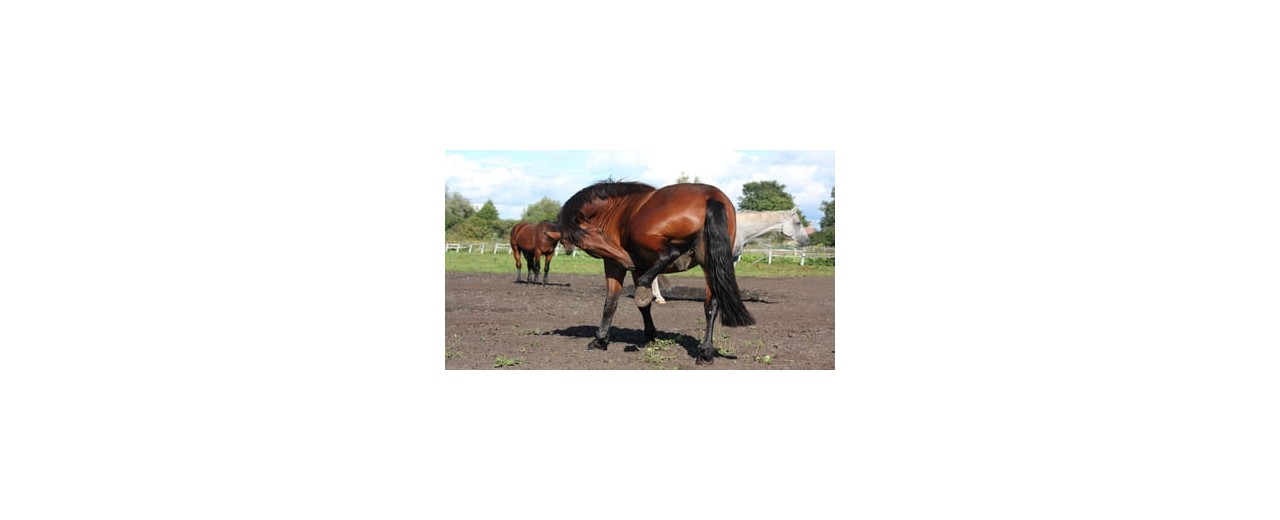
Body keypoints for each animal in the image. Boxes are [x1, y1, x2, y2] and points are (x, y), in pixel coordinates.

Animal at [556, 180, 755, 365]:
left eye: (600, 232)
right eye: (586, 245)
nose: (627, 260)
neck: (616, 208)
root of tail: (710, 195)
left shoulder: (614, 265)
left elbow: (610, 303)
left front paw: (600, 340)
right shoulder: (637, 266)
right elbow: (642, 307)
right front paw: (650, 334)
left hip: (644, 237)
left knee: (670, 253)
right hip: (709, 263)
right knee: (711, 305)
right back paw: (705, 352)